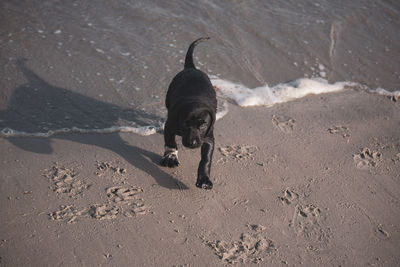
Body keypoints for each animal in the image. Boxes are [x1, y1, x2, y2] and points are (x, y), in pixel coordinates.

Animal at [160, 37, 217, 191]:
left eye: (202, 125)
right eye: (185, 124)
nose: (192, 143)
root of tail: (192, 68)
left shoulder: (209, 137)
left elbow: (206, 159)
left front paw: (204, 179)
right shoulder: (170, 125)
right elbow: (171, 142)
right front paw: (171, 157)